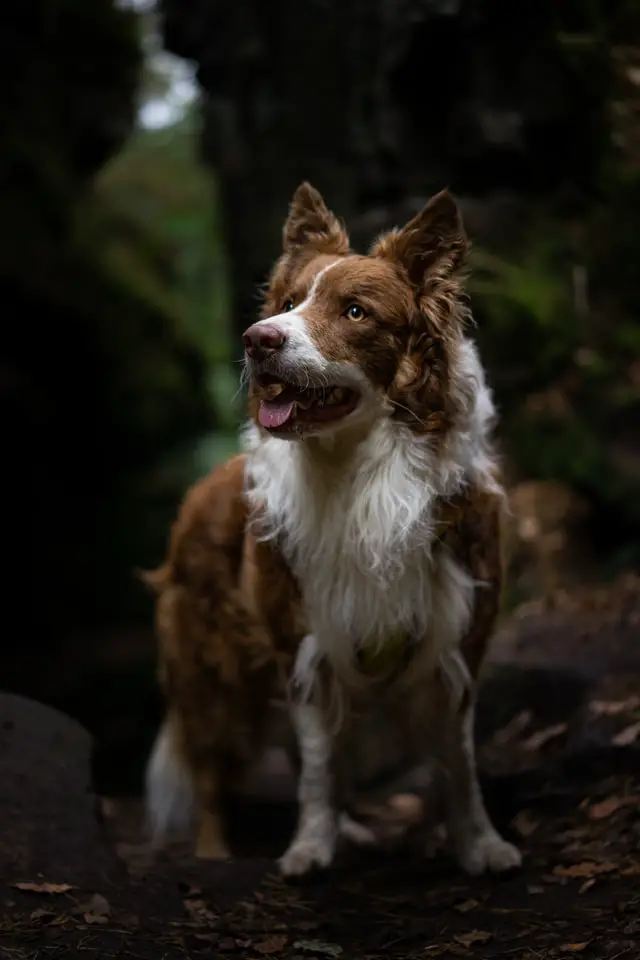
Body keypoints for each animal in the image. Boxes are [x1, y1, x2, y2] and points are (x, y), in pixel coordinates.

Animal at [146, 182, 524, 876]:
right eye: (288, 303)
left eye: (354, 311)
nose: (257, 339)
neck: (360, 477)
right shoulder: (304, 640)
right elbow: (318, 766)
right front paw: (308, 849)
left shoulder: (459, 639)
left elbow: (459, 765)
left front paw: (478, 844)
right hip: (212, 668)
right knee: (213, 773)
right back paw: (216, 852)